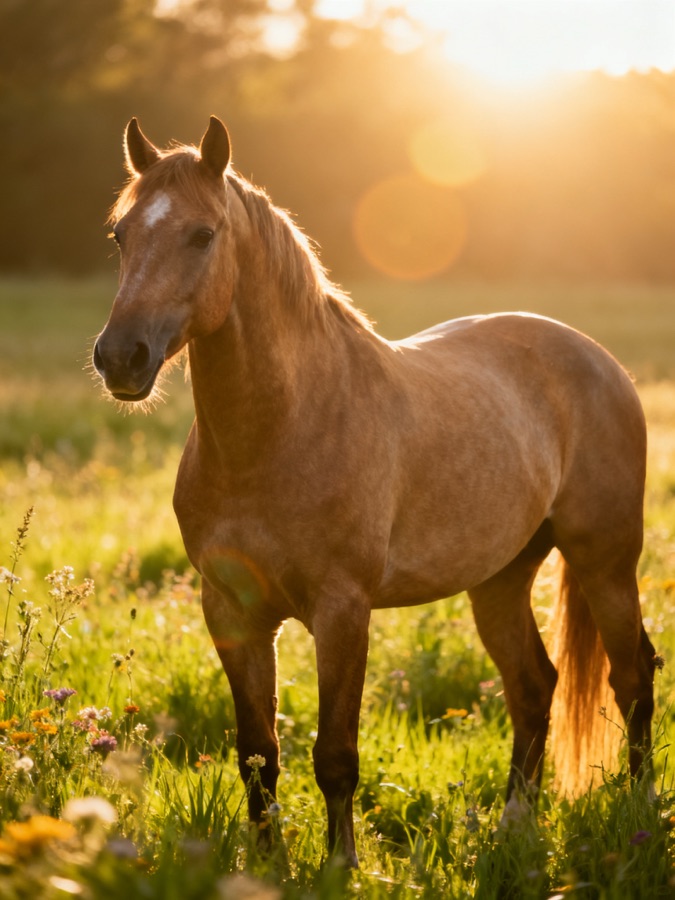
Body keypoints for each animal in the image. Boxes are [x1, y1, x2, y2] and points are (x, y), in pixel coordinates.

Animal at [93, 116, 657, 867]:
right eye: (120, 234)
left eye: (202, 234)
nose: (120, 358)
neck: (278, 430)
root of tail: (599, 359)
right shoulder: (232, 613)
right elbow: (257, 754)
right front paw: (268, 865)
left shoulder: (342, 611)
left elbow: (335, 755)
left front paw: (342, 866)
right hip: (501, 579)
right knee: (534, 685)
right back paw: (514, 824)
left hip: (605, 562)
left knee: (633, 679)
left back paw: (640, 811)